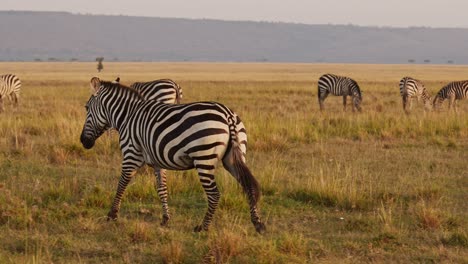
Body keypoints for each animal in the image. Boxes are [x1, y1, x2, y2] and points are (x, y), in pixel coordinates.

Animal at [78, 77, 266, 233]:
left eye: (86, 108)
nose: (83, 141)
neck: (127, 116)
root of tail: (228, 115)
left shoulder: (131, 155)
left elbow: (121, 184)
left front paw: (112, 214)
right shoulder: (157, 161)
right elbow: (162, 188)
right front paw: (165, 218)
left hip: (204, 158)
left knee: (214, 194)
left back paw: (203, 227)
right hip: (234, 158)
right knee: (249, 186)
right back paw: (258, 224)